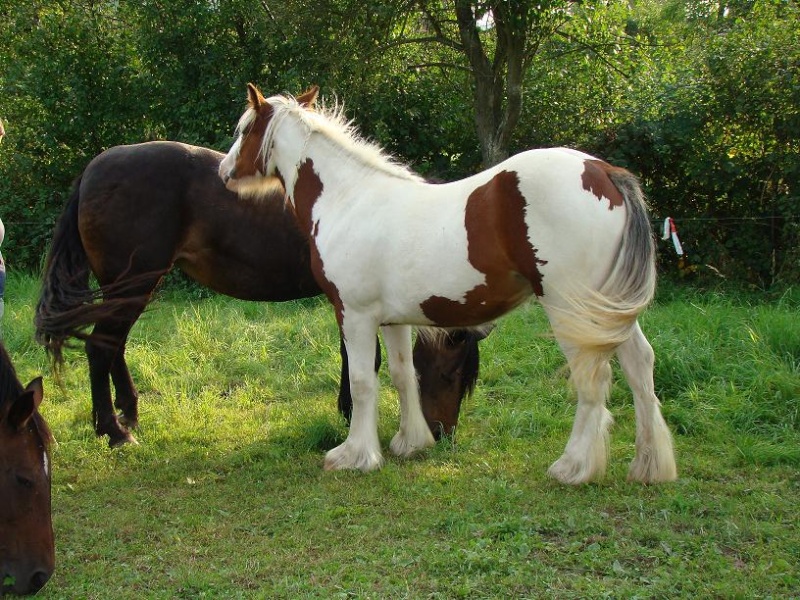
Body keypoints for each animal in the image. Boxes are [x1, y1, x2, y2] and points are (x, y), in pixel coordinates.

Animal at [34, 143, 484, 448]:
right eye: (453, 372)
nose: (444, 432)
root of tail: (93, 169)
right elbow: (363, 360)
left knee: (113, 348)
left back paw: (129, 413)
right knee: (100, 349)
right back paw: (113, 431)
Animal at [217, 85, 676, 488]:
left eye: (244, 128)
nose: (224, 172)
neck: (349, 198)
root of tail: (604, 171)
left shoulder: (355, 315)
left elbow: (364, 382)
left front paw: (356, 456)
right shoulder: (393, 320)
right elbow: (404, 376)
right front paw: (411, 442)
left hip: (571, 310)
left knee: (593, 379)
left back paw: (574, 467)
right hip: (607, 310)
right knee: (640, 367)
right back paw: (649, 465)